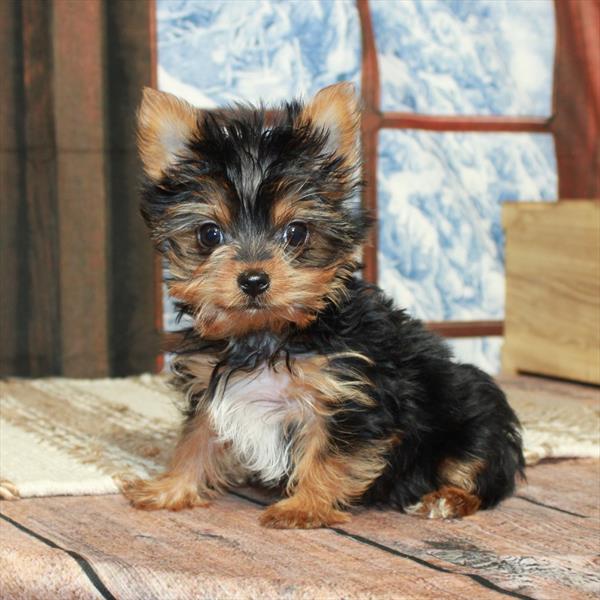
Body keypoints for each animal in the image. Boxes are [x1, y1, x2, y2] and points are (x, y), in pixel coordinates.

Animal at [123, 82, 524, 528]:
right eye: (209, 234)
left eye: (296, 233)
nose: (254, 280)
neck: (269, 334)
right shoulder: (212, 386)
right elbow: (196, 438)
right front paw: (170, 487)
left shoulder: (347, 396)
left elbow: (328, 455)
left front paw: (304, 507)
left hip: (474, 415)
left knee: (482, 471)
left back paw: (449, 498)